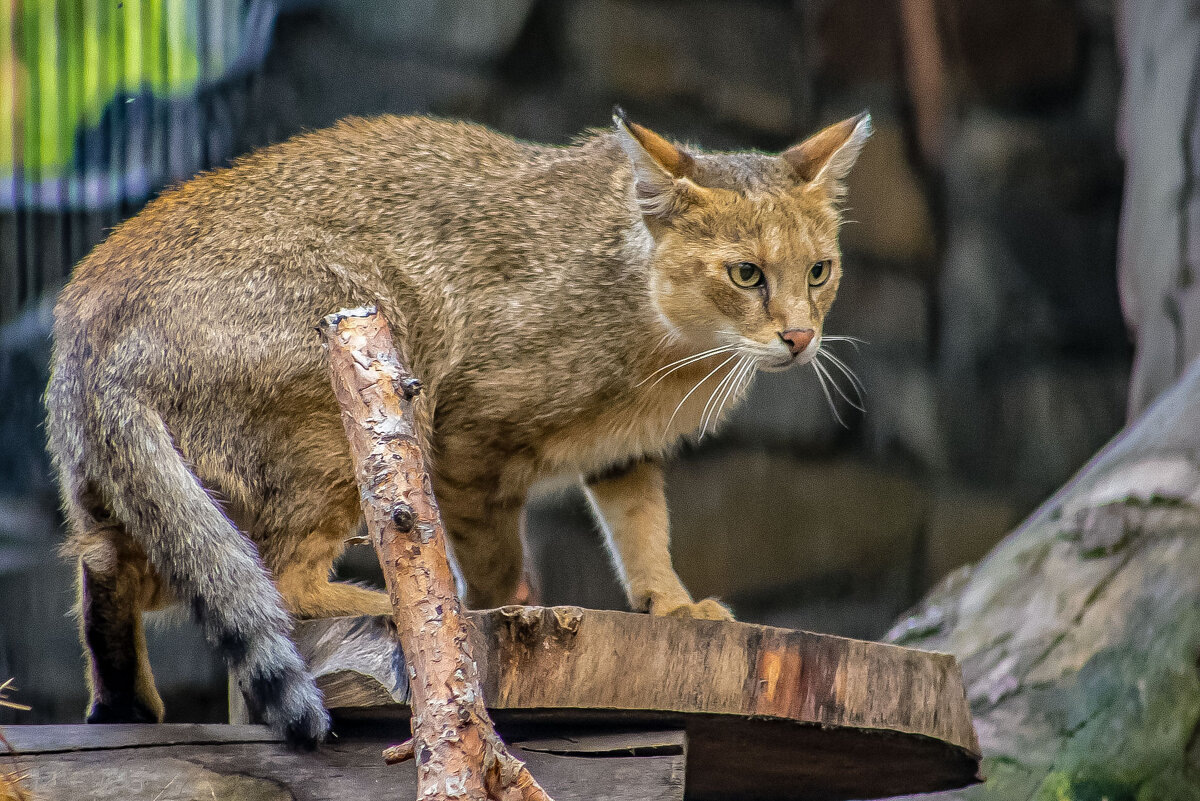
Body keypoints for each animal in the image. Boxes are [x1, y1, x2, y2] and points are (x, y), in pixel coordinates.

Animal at [44, 106, 873, 743]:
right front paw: (497, 615)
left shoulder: (622, 452)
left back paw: (124, 702)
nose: (800, 336)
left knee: (116, 564)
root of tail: (87, 334)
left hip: (157, 500)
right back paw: (375, 601)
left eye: (819, 271)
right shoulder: (473, 436)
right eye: (746, 273)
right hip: (359, 398)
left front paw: (669, 602)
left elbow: (643, 529)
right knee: (280, 579)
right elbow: (499, 563)